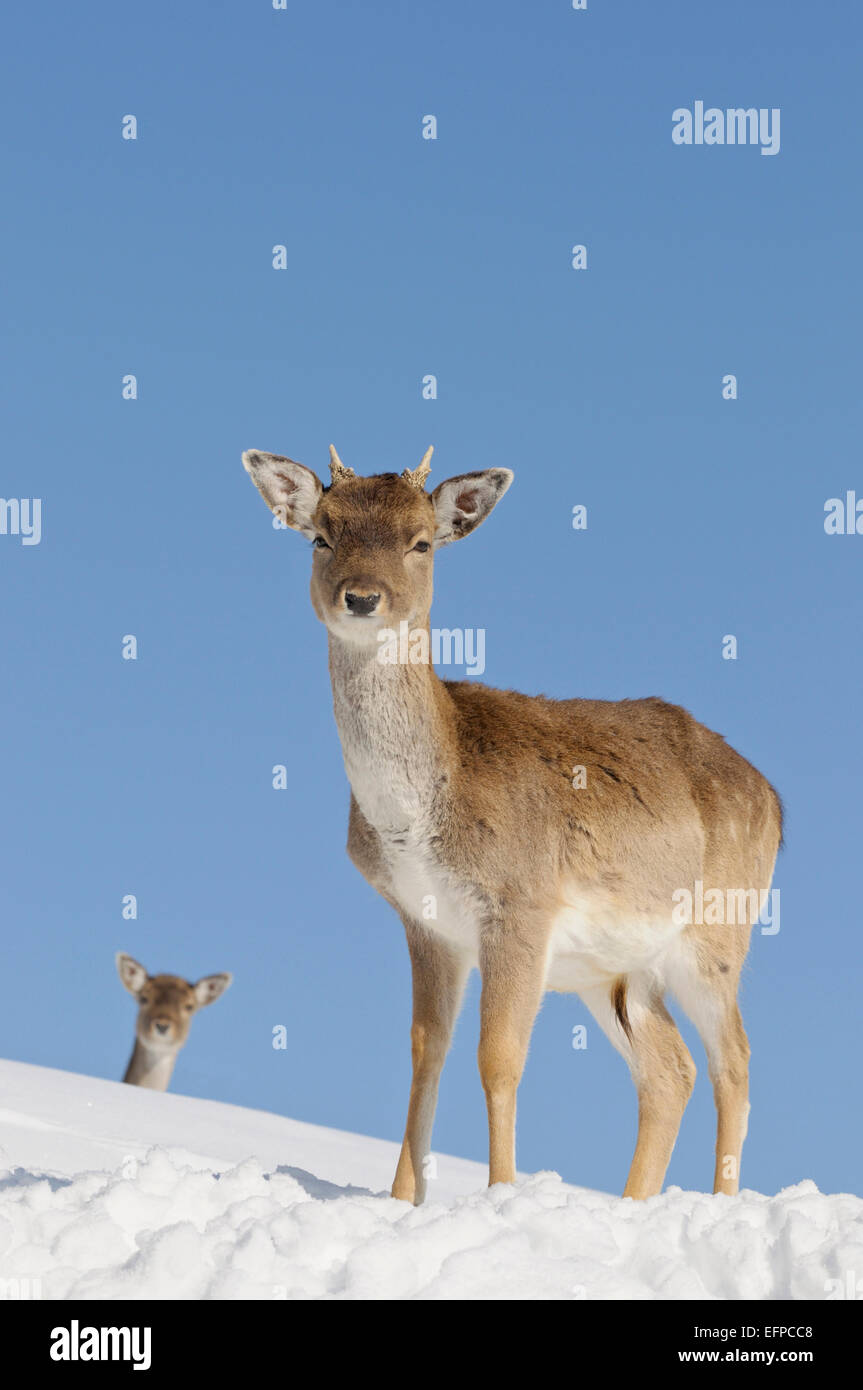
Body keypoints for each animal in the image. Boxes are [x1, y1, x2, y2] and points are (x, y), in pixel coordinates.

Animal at [241, 442, 778, 1206]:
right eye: (321, 535)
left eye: (421, 542)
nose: (362, 597)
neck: (417, 817)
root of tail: (774, 800)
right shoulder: (428, 923)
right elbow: (424, 1051)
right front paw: (403, 1200)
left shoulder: (521, 904)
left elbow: (497, 1057)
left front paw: (499, 1193)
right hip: (614, 972)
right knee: (670, 1069)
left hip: (717, 935)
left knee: (734, 1060)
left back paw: (719, 1202)